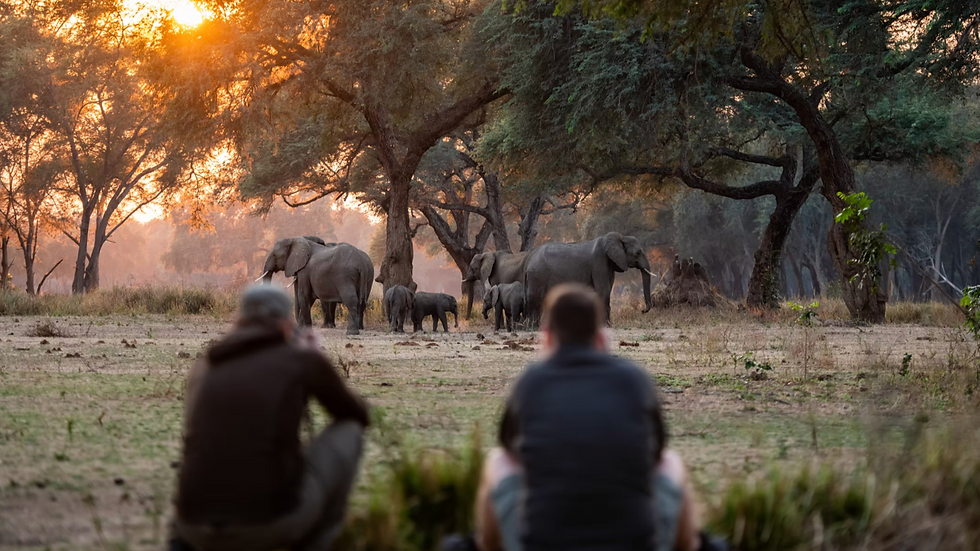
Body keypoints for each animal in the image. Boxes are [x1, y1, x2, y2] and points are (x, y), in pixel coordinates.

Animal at [523, 232, 654, 327]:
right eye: (638, 253)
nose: (643, 310)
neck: (620, 237)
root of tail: (529, 259)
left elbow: (608, 289)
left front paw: (608, 325)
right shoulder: (599, 262)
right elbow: (603, 291)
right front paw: (607, 326)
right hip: (538, 274)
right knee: (535, 298)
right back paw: (532, 328)